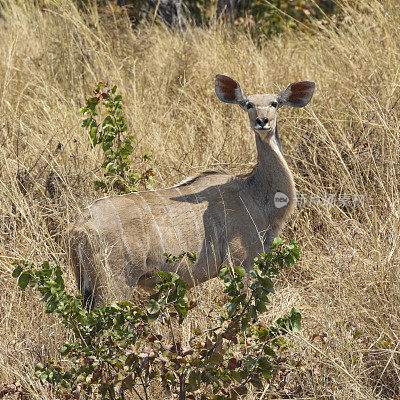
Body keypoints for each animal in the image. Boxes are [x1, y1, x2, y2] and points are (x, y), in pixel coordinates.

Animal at [69, 75, 316, 306]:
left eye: (274, 103)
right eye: (248, 104)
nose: (262, 121)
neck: (254, 193)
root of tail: (79, 227)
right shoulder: (241, 262)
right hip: (114, 285)